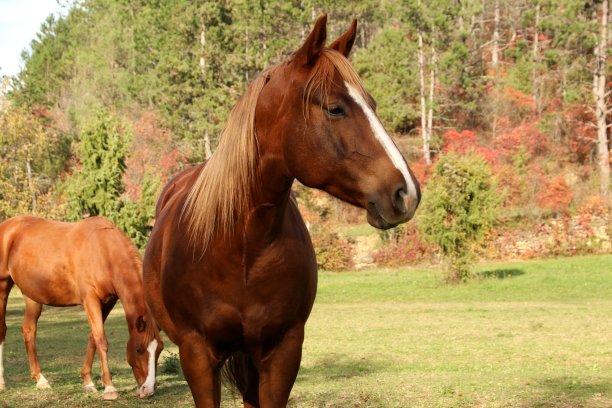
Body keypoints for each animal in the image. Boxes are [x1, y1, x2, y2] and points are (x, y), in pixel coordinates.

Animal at [0, 215, 164, 400]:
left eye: (160, 349)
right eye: (139, 349)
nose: (148, 390)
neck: (104, 251)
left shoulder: (108, 302)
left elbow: (93, 338)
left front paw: (88, 382)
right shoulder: (90, 300)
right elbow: (101, 340)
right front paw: (109, 388)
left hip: (32, 296)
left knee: (29, 330)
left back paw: (40, 380)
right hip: (2, 287)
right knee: (2, 329)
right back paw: (2, 383)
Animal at [143, 14, 420, 406]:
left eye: (372, 104)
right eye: (335, 107)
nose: (406, 192)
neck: (240, 245)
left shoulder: (282, 352)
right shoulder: (197, 356)